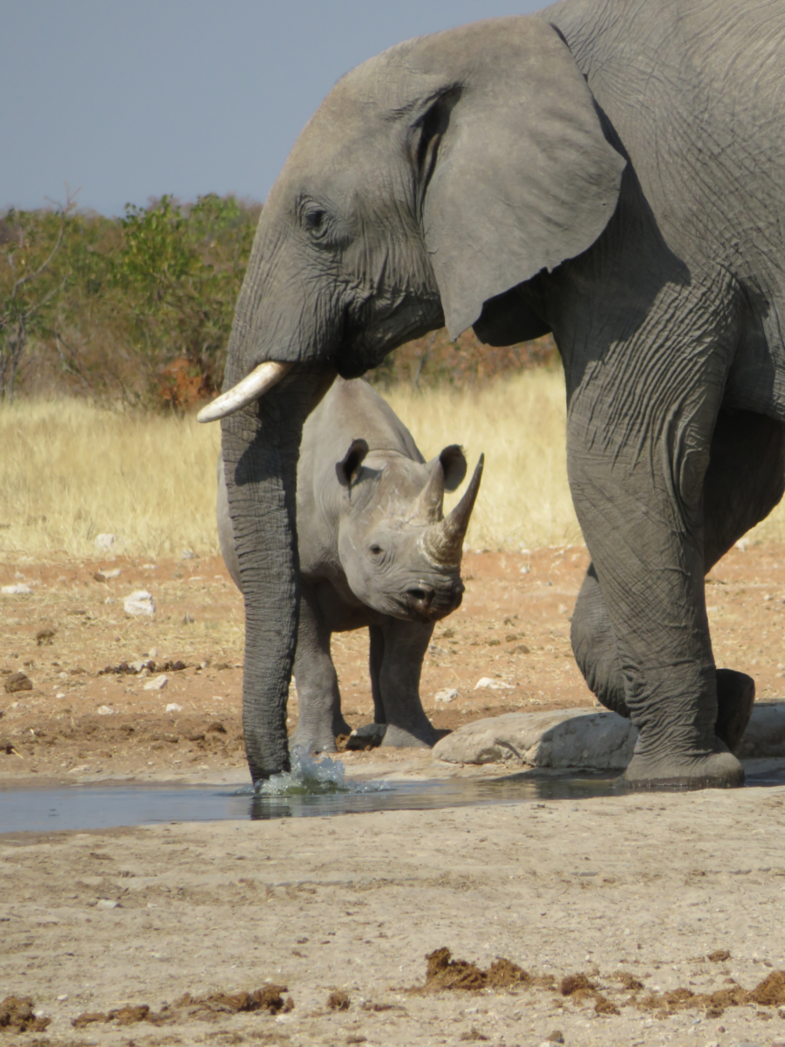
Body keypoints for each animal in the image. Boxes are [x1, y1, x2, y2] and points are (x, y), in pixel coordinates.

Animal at [218, 372, 483, 758]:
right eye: (375, 550)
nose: (442, 596)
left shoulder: (411, 582)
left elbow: (401, 667)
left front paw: (413, 743)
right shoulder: (307, 575)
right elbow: (314, 662)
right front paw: (314, 751)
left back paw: (375, 732)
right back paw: (337, 735)